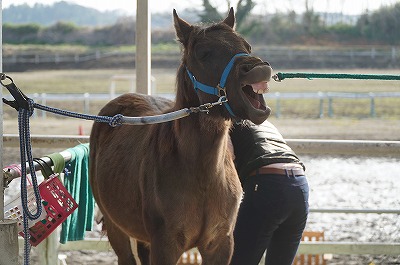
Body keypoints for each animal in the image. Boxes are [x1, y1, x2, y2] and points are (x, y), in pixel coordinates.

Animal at [89, 8, 274, 264]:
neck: (202, 174)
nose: (258, 69)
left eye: (246, 46)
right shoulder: (165, 246)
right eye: (204, 53)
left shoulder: (220, 244)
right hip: (117, 228)